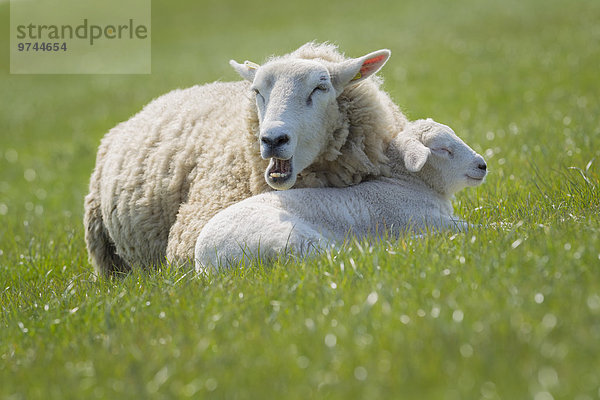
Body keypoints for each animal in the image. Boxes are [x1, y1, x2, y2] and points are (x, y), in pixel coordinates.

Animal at [197, 119, 488, 274]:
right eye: (442, 149)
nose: (482, 165)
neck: (406, 185)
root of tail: (206, 264)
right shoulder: (424, 218)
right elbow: (475, 228)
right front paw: (499, 229)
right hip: (288, 238)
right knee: (335, 257)